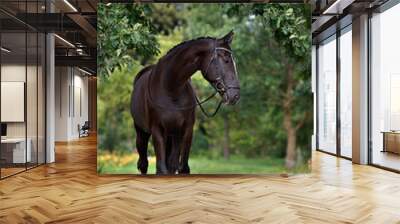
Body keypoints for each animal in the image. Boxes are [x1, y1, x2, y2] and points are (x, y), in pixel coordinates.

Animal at [130, 30, 239, 174]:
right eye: (226, 60)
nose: (235, 95)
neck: (170, 87)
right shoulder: (157, 130)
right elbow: (161, 169)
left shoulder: (186, 130)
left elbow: (181, 168)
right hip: (142, 133)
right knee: (143, 164)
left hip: (172, 136)